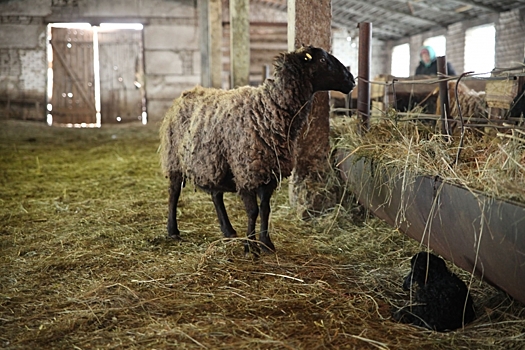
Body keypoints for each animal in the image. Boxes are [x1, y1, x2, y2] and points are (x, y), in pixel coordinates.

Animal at [159, 45, 356, 254]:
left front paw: (266, 243)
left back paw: (228, 230)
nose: (352, 80)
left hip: (214, 162)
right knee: (173, 194)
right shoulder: (247, 172)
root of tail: (187, 92)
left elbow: (265, 209)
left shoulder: (268, 173)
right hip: (174, 159)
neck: (267, 110)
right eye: (323, 60)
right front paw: (250, 246)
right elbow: (252, 211)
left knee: (216, 195)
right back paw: (173, 230)